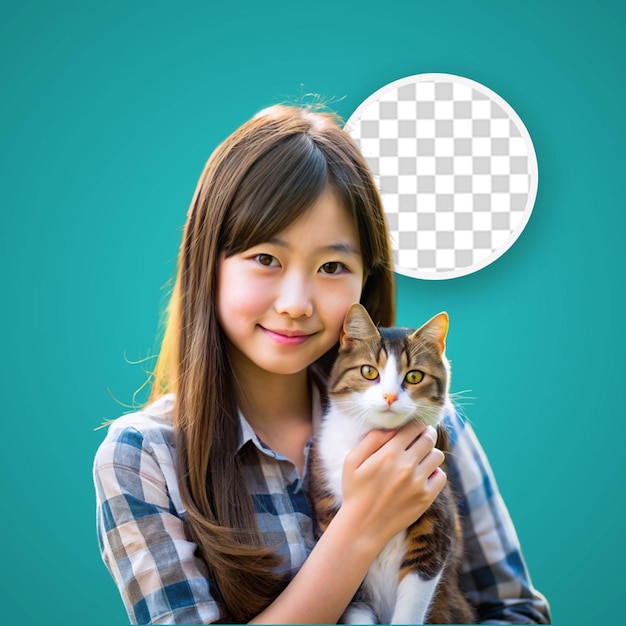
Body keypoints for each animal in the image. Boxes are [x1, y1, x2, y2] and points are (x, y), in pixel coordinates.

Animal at [308, 302, 472, 620]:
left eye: (414, 376)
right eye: (368, 371)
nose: (389, 397)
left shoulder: (433, 525)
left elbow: (413, 600)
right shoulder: (331, 517)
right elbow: (354, 598)